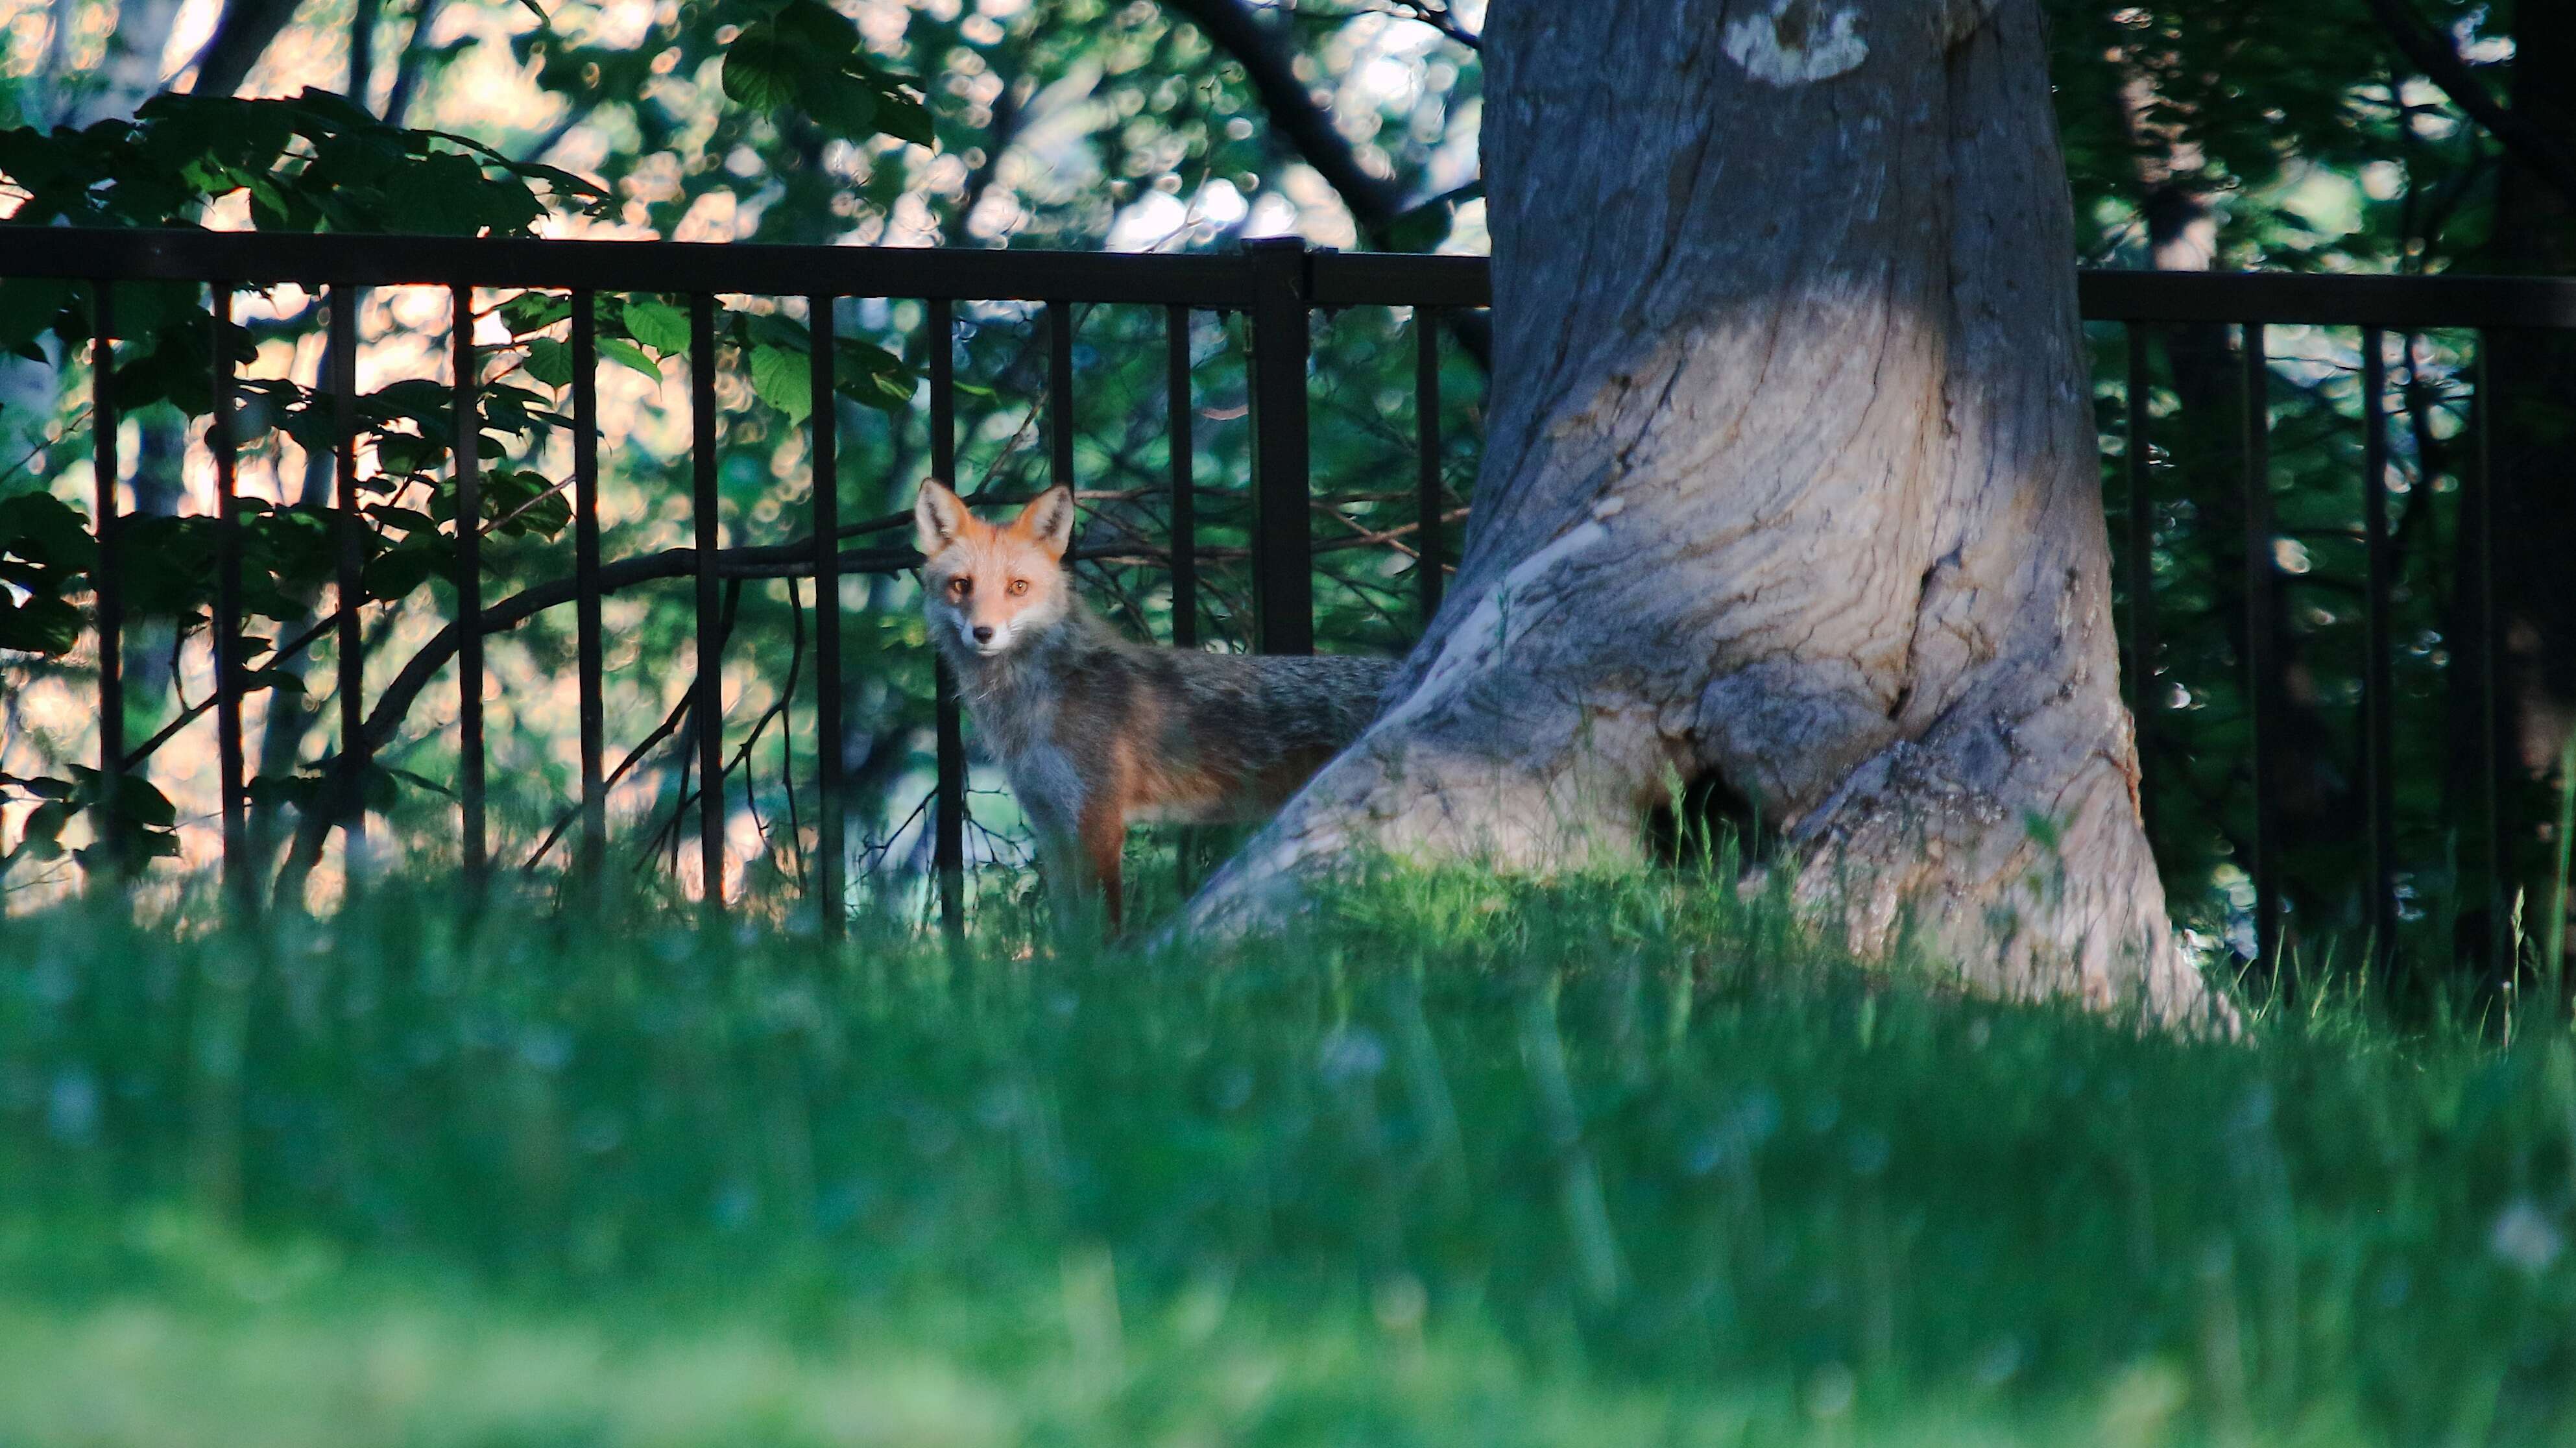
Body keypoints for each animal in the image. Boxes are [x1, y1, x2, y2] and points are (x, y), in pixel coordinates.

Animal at [906, 474, 1391, 922]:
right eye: (962, 585)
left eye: (1018, 587)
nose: (983, 633)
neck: (1033, 709)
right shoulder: (1052, 825)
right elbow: (1069, 937)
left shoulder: (1097, 820)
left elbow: (1104, 934)